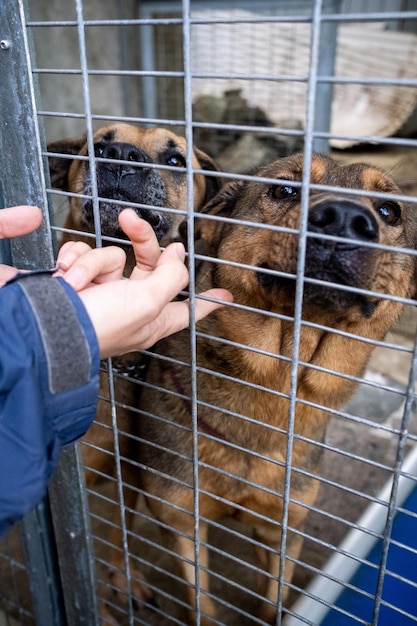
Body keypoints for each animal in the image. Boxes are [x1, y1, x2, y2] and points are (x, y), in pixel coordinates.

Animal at [47, 122, 224, 608]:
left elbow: (119, 530)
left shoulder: (129, 474)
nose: (122, 156)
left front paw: (125, 579)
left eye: (176, 159)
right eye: (97, 145)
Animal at [136, 152, 416, 624]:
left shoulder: (283, 529)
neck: (277, 379)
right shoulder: (182, 523)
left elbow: (274, 600)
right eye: (284, 190)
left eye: (389, 211)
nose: (344, 219)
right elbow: (201, 602)